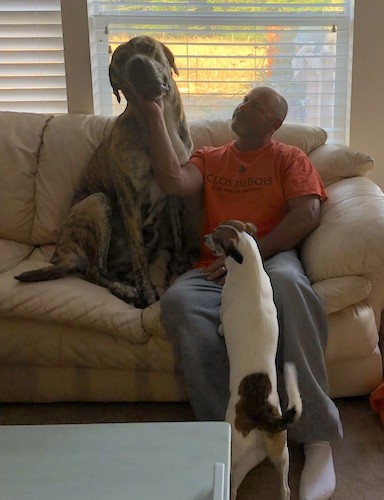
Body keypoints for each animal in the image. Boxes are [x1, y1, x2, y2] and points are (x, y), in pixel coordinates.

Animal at [15, 35, 192, 306]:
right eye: (119, 60)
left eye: (148, 47)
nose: (136, 64)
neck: (160, 123)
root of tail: (63, 255)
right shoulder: (130, 201)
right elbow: (139, 256)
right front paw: (148, 291)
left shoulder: (174, 191)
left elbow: (178, 231)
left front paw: (180, 265)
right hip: (97, 204)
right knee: (94, 271)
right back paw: (127, 289)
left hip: (150, 233)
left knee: (111, 267)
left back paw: (126, 281)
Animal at [204, 221, 304, 498]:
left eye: (215, 236)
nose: (203, 236)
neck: (249, 268)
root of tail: (264, 416)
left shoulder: (225, 305)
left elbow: (221, 318)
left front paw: (219, 330)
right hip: (279, 452)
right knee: (284, 488)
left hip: (236, 449)